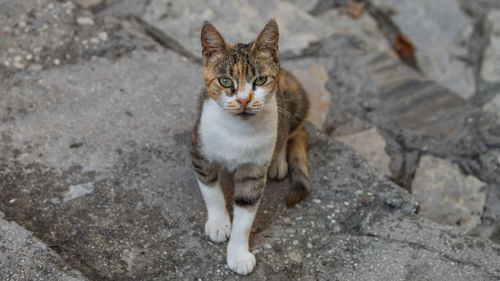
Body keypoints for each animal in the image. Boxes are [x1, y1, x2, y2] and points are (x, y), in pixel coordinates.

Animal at [190, 17, 310, 274]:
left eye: (260, 80)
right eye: (225, 81)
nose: (244, 100)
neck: (238, 130)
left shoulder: (254, 171)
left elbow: (246, 211)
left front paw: (238, 254)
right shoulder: (200, 151)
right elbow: (211, 190)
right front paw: (219, 223)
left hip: (295, 101)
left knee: (290, 133)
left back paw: (277, 162)